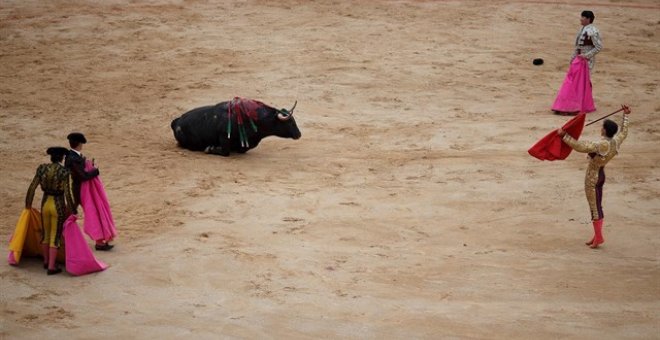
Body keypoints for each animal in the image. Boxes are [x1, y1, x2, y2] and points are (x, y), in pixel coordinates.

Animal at [171, 97, 302, 157]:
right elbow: (226, 152)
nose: (299, 134)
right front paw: (210, 149)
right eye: (290, 122)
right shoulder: (224, 136)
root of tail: (176, 122)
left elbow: (242, 149)